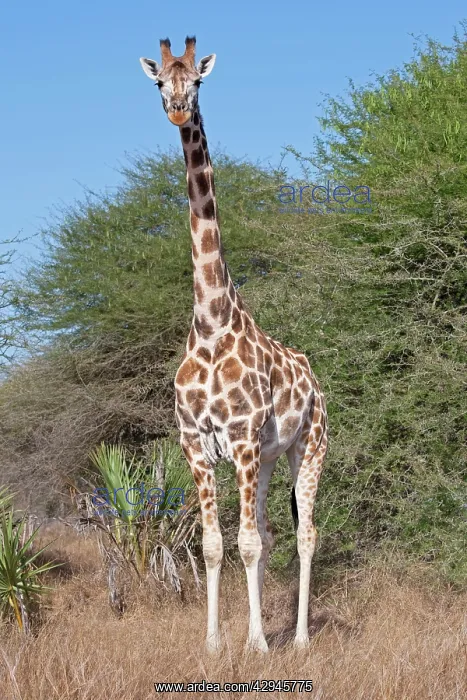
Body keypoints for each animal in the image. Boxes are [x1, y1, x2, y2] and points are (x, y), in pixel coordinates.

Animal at [140, 37, 328, 653]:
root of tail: (317, 382)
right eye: (159, 82)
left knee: (304, 533)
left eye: (198, 81)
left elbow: (243, 543)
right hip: (268, 458)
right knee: (268, 532)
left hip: (307, 447)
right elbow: (216, 546)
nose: (178, 110)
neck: (211, 321)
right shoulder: (196, 445)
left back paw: (298, 639)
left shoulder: (242, 439)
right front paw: (218, 643)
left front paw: (259, 645)